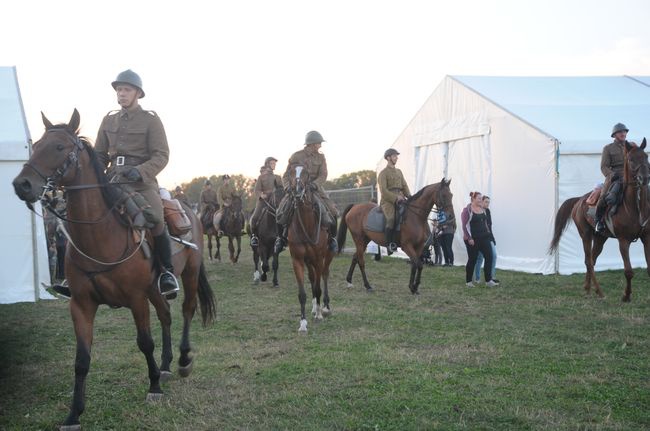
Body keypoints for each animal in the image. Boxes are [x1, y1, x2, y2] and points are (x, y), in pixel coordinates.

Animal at [10, 109, 218, 430]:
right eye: (37, 146)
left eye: (59, 147)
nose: (22, 185)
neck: (99, 236)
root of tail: (188, 209)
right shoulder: (81, 305)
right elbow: (81, 359)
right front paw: (74, 413)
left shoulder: (136, 299)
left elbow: (144, 342)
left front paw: (154, 387)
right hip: (155, 289)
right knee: (166, 316)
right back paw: (166, 365)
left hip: (190, 274)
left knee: (187, 310)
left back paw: (183, 361)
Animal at [284, 164, 334, 332]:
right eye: (290, 172)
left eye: (306, 173)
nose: (297, 189)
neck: (306, 224)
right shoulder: (297, 260)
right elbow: (302, 293)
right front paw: (303, 323)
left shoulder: (318, 259)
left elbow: (318, 288)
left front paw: (319, 314)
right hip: (308, 261)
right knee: (312, 278)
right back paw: (314, 308)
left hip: (328, 256)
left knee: (324, 275)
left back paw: (325, 307)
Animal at [548, 140, 648, 302]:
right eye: (631, 159)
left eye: (646, 156)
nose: (644, 178)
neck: (634, 206)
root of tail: (579, 200)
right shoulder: (623, 240)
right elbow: (628, 271)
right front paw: (626, 296)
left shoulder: (646, 238)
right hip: (585, 234)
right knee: (588, 261)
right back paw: (599, 292)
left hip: (601, 237)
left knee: (593, 260)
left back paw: (589, 289)